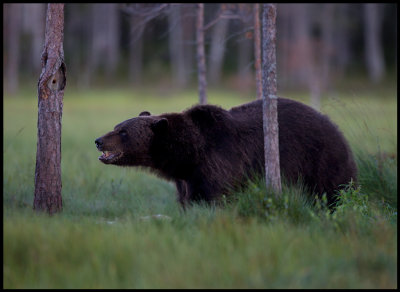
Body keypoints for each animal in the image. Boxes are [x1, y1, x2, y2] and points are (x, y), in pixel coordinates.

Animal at [95, 99, 358, 209]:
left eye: (123, 132)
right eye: (117, 126)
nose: (98, 141)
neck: (190, 154)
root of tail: (338, 130)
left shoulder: (220, 161)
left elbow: (214, 197)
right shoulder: (186, 177)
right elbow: (186, 200)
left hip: (321, 159)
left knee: (332, 190)